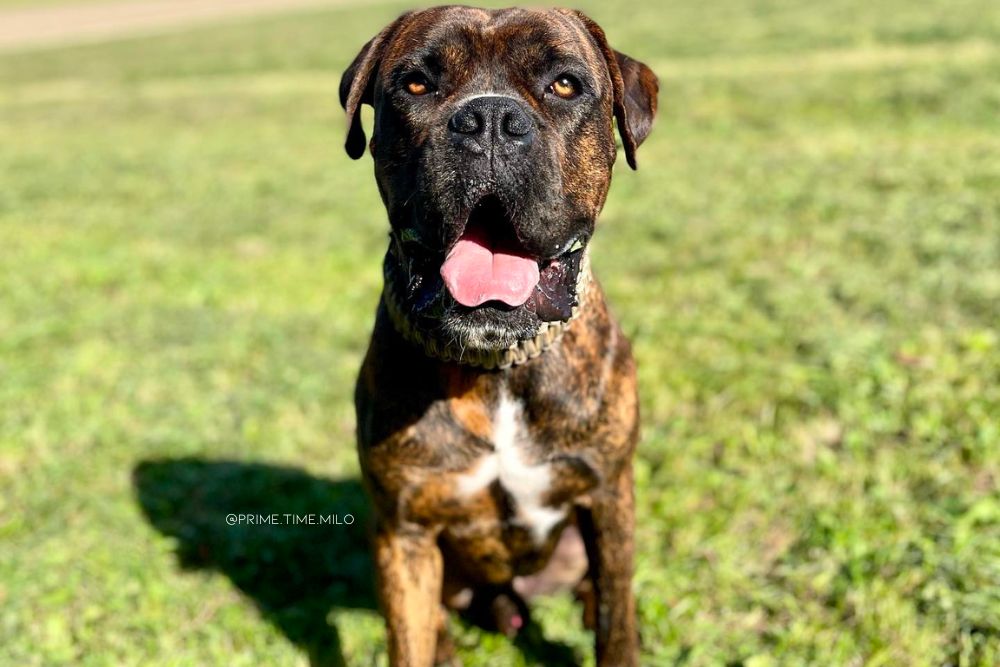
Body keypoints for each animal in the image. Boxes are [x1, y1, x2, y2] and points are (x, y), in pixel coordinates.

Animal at [340, 6, 660, 667]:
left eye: (564, 85)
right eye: (416, 84)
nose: (488, 119)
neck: (497, 368)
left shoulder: (609, 497)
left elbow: (617, 620)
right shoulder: (403, 532)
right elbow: (406, 638)